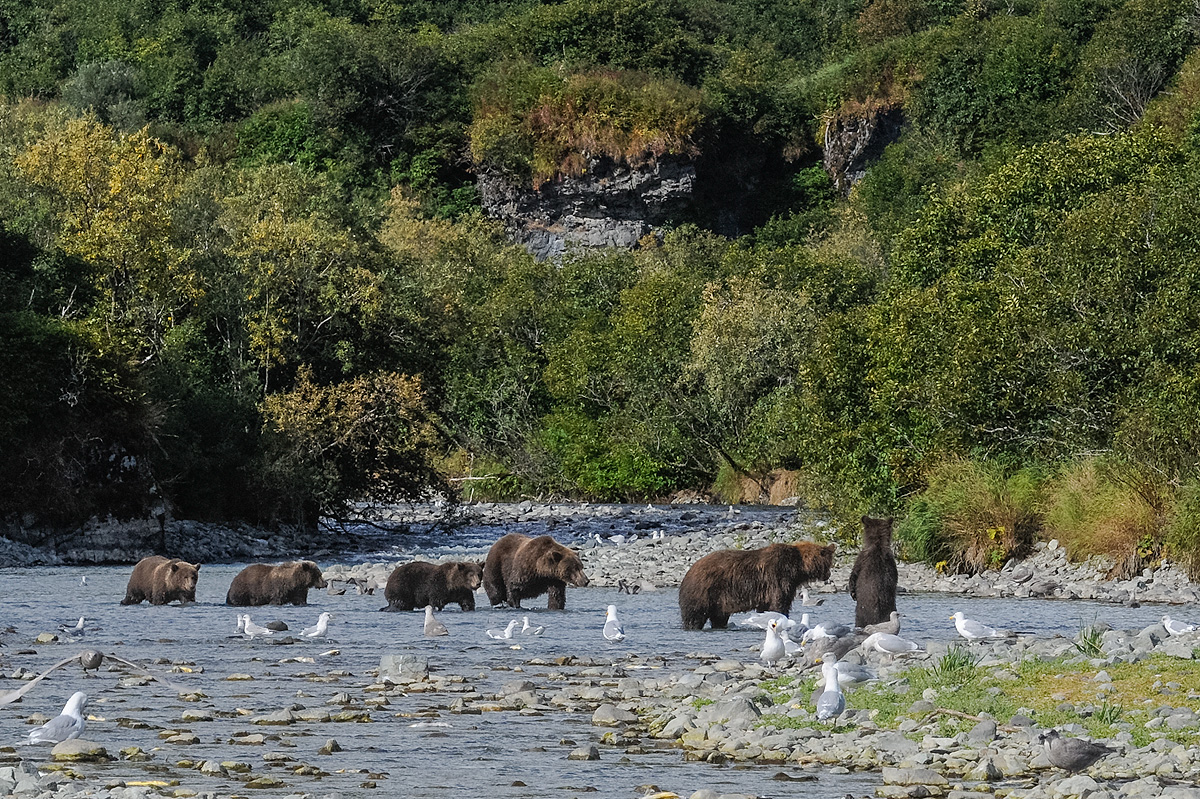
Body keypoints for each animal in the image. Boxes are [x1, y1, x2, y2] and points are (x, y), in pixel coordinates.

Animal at [676, 542, 835, 628]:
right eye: (828, 563)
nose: (828, 575)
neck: (798, 568)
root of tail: (689, 571)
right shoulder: (778, 576)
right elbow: (779, 603)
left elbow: (765, 608)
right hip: (703, 591)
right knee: (694, 615)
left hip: (718, 601)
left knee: (718, 617)